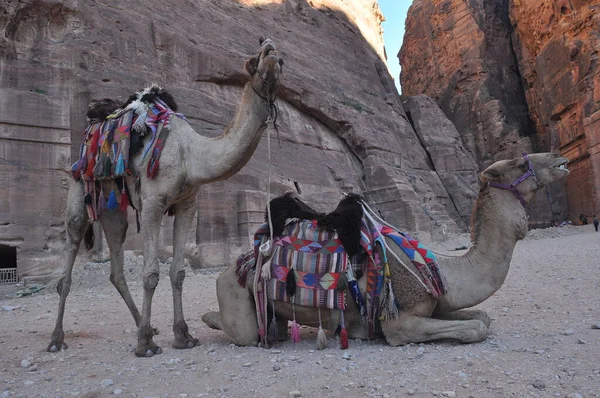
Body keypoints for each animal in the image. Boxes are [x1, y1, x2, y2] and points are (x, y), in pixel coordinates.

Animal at [48, 38, 282, 358]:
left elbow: (178, 271)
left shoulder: (186, 204)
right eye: (253, 60)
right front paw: (145, 345)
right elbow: (150, 274)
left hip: (113, 207)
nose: (271, 50)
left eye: (281, 61)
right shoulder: (153, 203)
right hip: (79, 191)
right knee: (69, 258)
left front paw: (182, 336)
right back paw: (57, 338)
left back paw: (143, 326)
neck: (190, 155)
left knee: (116, 265)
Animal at [202, 152, 568, 346]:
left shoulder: (435, 305)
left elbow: (482, 316)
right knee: (243, 331)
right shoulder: (399, 322)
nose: (560, 160)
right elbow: (476, 328)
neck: (444, 271)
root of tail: (234, 266)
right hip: (235, 293)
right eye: (520, 164)